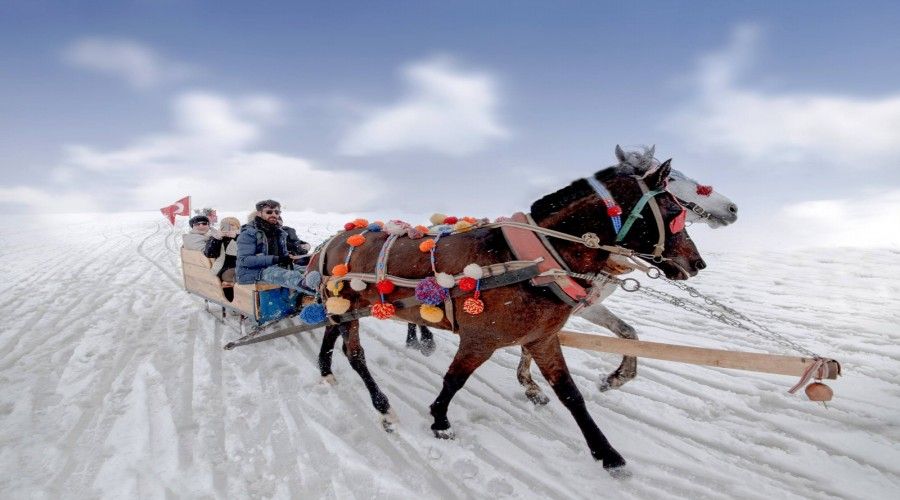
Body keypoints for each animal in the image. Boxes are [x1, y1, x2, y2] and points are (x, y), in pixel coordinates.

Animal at [316, 161, 704, 476]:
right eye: (674, 209)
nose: (698, 263)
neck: (532, 263)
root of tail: (332, 241)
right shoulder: (479, 340)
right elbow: (454, 380)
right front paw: (440, 420)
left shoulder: (542, 338)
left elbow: (571, 394)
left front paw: (607, 453)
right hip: (348, 304)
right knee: (355, 354)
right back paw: (383, 407)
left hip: (345, 307)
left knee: (332, 335)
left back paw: (325, 369)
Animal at [516, 146, 740, 404]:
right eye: (671, 180)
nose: (732, 208)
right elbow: (529, 344)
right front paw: (531, 387)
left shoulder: (586, 306)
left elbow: (628, 332)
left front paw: (617, 377)